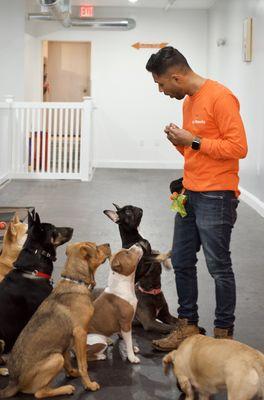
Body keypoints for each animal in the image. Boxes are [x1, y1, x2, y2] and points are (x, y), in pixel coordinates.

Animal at [0, 239, 111, 398]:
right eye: (96, 247)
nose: (108, 244)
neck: (76, 281)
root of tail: (13, 383)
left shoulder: (67, 341)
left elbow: (69, 363)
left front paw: (73, 374)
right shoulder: (80, 334)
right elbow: (83, 365)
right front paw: (89, 385)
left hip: (58, 354)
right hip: (55, 358)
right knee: (39, 393)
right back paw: (66, 389)